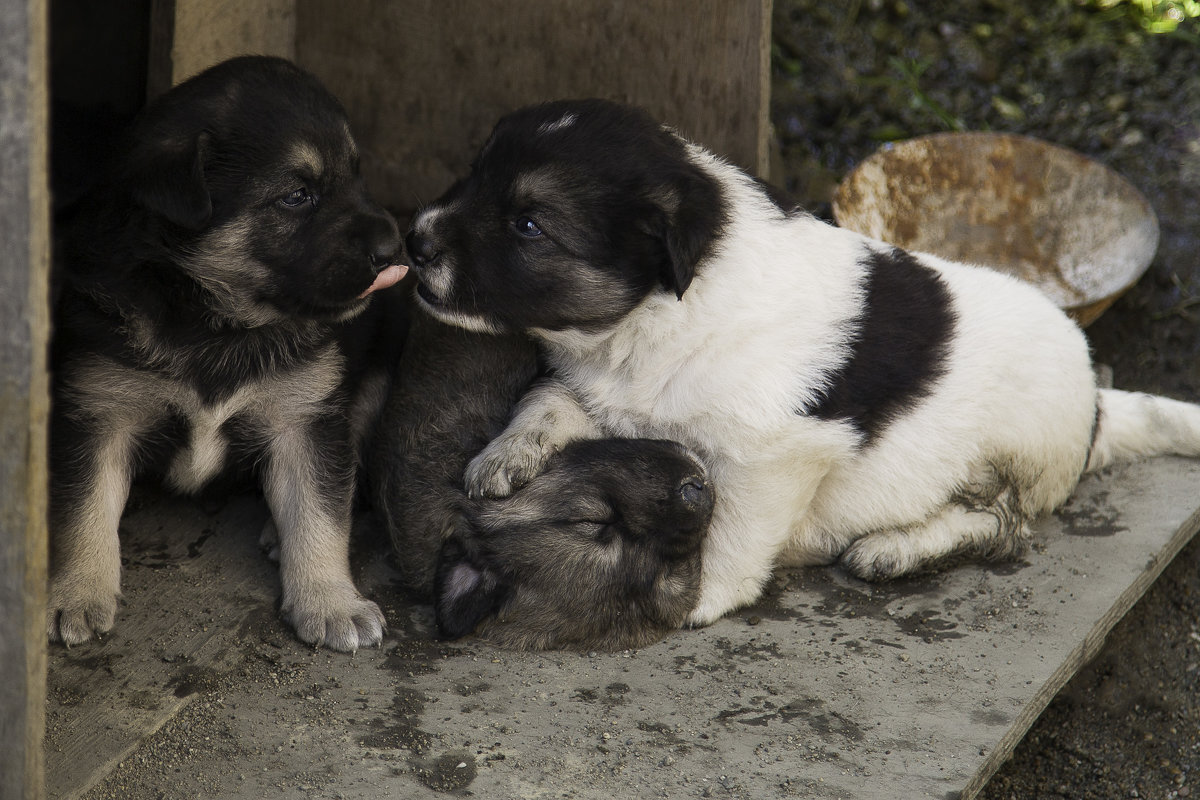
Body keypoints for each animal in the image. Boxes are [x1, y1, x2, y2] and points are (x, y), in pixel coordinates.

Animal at [50, 57, 408, 657]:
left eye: (357, 175)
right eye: (296, 195)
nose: (394, 249)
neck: (217, 319)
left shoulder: (306, 417)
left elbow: (319, 511)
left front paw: (331, 601)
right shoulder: (99, 412)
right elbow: (83, 509)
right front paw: (73, 593)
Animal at [400, 98, 1200, 623]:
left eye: (529, 225)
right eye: (473, 175)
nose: (414, 240)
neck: (653, 320)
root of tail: (1097, 405)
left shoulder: (773, 458)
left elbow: (732, 535)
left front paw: (700, 600)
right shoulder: (600, 389)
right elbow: (547, 401)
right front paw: (505, 457)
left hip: (1010, 454)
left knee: (1003, 527)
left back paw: (897, 549)